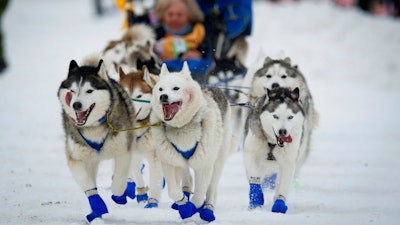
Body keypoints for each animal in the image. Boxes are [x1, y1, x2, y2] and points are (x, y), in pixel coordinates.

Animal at [57, 56, 136, 223]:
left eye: (89, 91)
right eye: (72, 91)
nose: (76, 104)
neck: (93, 126)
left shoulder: (123, 152)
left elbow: (119, 179)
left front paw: (120, 195)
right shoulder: (76, 159)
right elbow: (87, 183)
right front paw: (96, 205)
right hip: (91, 161)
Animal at [119, 65, 164, 207]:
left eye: (139, 95)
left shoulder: (155, 156)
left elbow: (155, 180)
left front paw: (152, 202)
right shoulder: (133, 152)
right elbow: (137, 173)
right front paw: (142, 194)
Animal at [149, 62, 231, 222]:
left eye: (176, 88)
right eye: (161, 89)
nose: (163, 96)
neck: (182, 127)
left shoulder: (204, 164)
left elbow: (199, 196)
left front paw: (194, 207)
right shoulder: (169, 162)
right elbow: (173, 191)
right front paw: (183, 204)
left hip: (218, 158)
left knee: (212, 187)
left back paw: (208, 209)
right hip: (179, 160)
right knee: (187, 178)